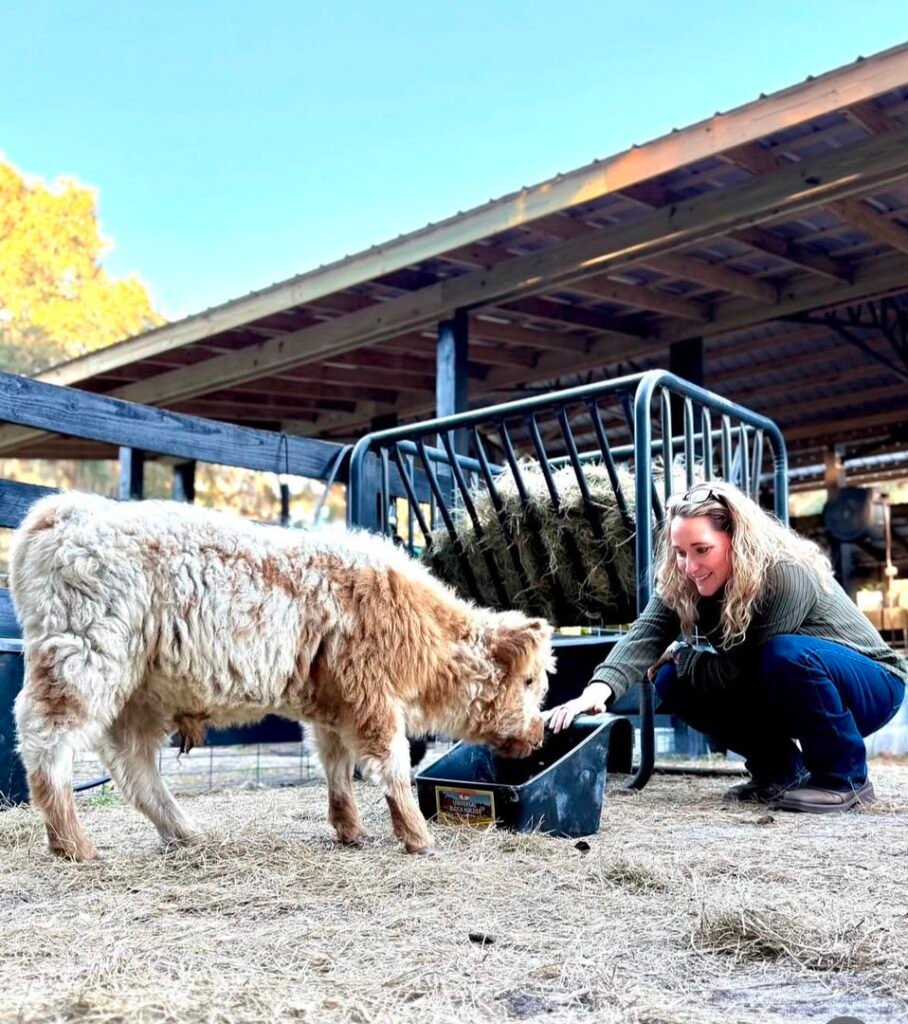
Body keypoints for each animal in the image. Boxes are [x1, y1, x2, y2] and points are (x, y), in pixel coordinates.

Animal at [10, 492, 554, 860]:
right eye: (530, 683)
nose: (538, 735)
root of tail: (63, 512)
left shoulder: (333, 708)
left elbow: (336, 768)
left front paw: (350, 829)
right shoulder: (373, 701)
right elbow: (392, 765)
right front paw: (418, 837)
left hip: (137, 695)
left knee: (132, 767)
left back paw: (184, 832)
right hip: (83, 658)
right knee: (46, 740)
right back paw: (73, 843)